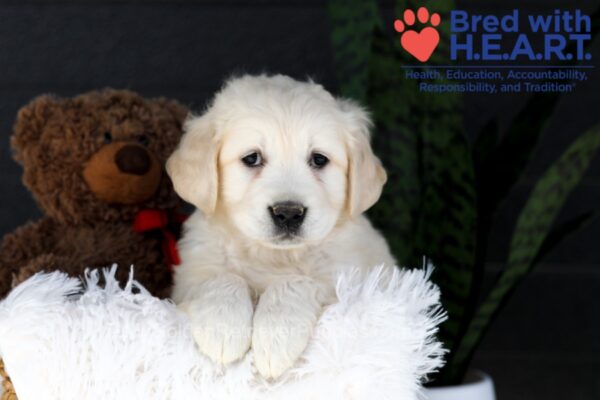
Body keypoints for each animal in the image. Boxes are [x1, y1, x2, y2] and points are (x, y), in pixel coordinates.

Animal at [169, 74, 394, 378]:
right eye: (252, 158)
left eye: (319, 159)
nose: (288, 213)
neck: (273, 256)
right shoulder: (190, 275)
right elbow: (220, 278)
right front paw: (222, 328)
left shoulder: (348, 277)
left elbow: (297, 282)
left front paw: (276, 338)